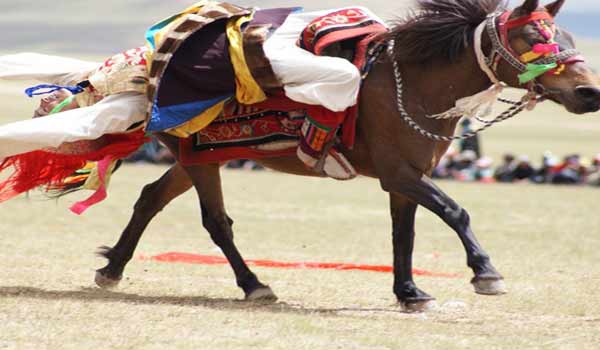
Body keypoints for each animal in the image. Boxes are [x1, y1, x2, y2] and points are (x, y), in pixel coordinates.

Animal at [94, 0, 600, 312]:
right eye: (533, 35)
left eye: (569, 37)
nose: (588, 92)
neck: (416, 85)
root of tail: (149, 67)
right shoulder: (399, 172)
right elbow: (455, 211)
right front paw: (485, 273)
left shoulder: (406, 177)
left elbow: (404, 235)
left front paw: (410, 292)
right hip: (201, 160)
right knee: (216, 222)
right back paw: (254, 285)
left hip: (196, 159)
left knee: (150, 198)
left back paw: (112, 267)